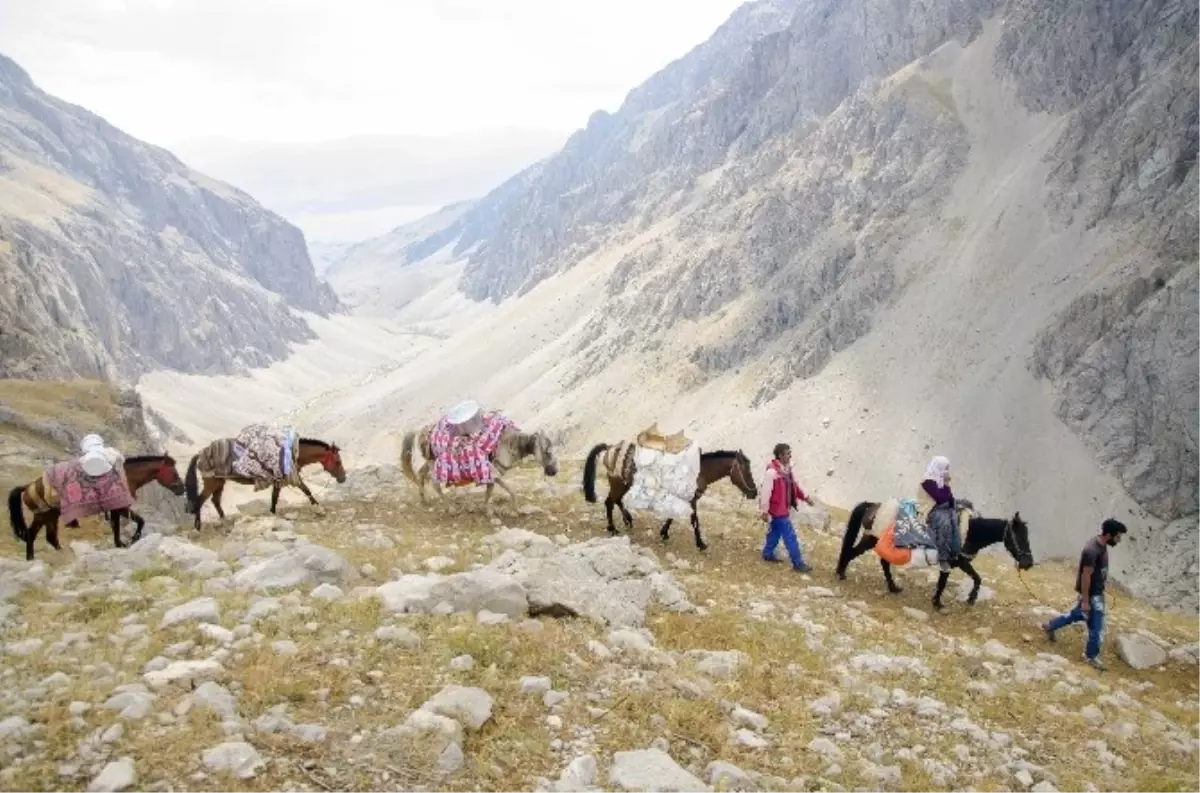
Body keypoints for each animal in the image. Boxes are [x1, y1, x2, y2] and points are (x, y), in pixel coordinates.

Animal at [5, 453, 187, 559]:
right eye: (174, 472)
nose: (182, 488)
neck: (126, 477)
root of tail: (28, 486)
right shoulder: (120, 508)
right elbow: (131, 524)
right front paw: (129, 540)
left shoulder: (116, 509)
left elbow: (125, 525)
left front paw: (124, 542)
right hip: (43, 515)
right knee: (31, 535)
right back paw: (31, 558)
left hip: (51, 515)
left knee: (50, 537)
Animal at [182, 436, 345, 527]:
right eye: (338, 462)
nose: (343, 478)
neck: (290, 454)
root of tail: (201, 453)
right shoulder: (291, 479)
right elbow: (306, 490)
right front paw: (320, 509)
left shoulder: (278, 481)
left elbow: (275, 497)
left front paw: (272, 514)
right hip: (212, 483)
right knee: (200, 501)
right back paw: (198, 527)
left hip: (220, 482)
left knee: (215, 501)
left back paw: (224, 521)